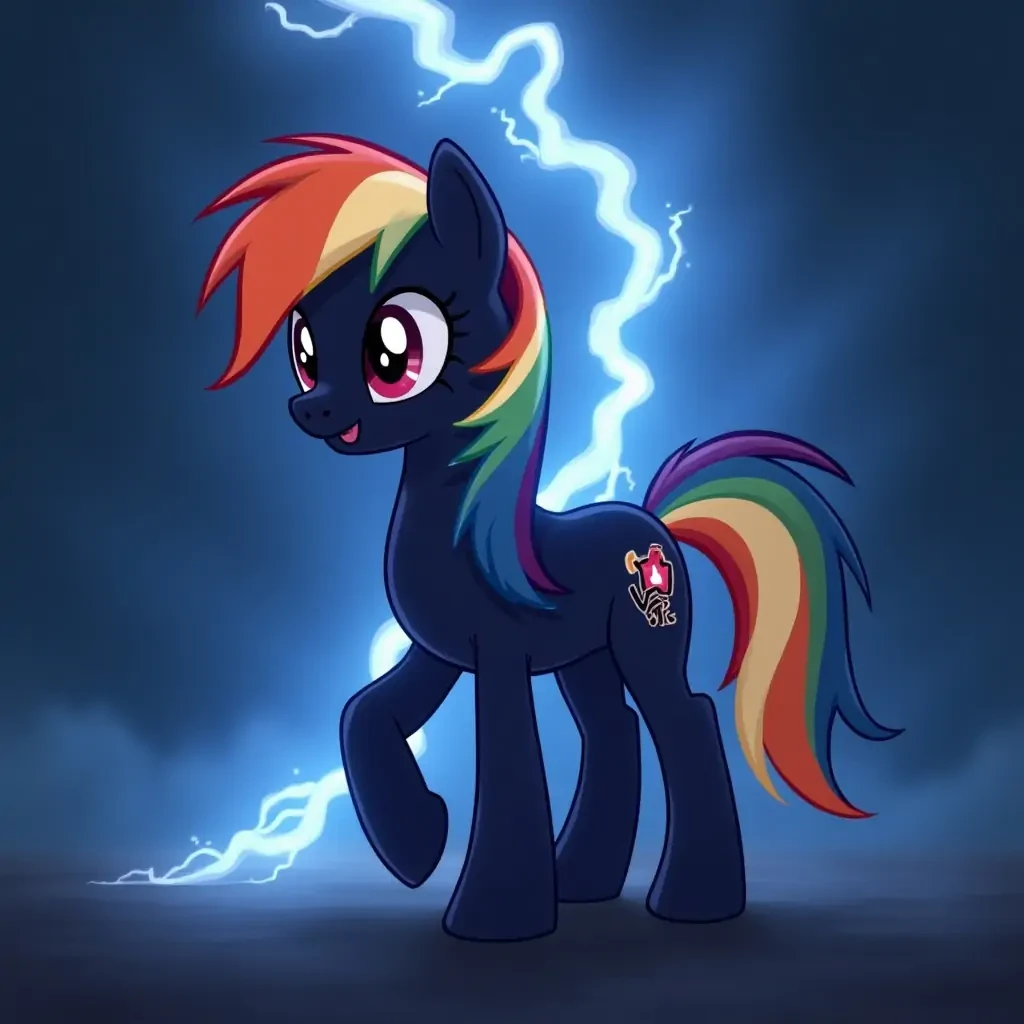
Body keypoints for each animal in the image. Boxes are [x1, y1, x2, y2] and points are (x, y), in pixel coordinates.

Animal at [197, 134, 900, 942]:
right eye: (304, 345)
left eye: (394, 353)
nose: (310, 408)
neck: (468, 529)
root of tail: (657, 526)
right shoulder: (439, 650)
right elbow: (363, 713)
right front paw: (418, 840)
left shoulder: (497, 653)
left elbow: (504, 749)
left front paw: (493, 915)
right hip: (586, 659)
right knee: (612, 727)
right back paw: (586, 880)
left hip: (645, 639)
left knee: (682, 716)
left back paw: (695, 901)